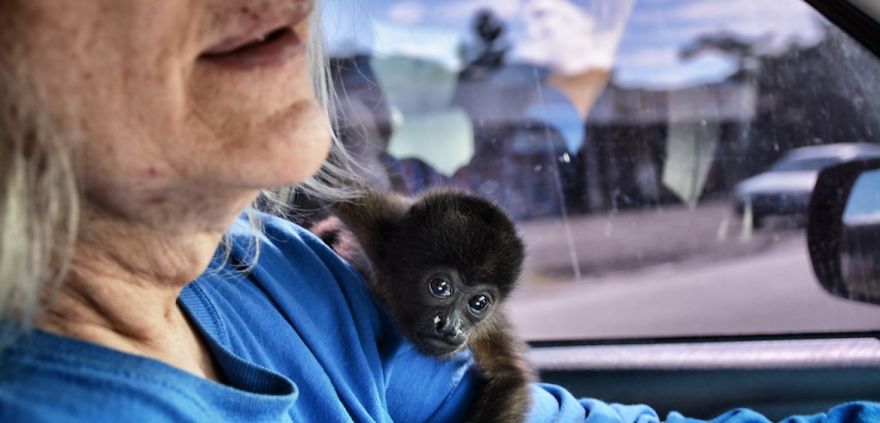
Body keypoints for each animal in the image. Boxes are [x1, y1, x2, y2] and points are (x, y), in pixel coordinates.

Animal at [321, 188, 534, 423]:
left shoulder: (490, 325)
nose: (450, 327)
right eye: (440, 287)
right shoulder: (376, 228)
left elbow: (509, 374)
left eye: (479, 303)